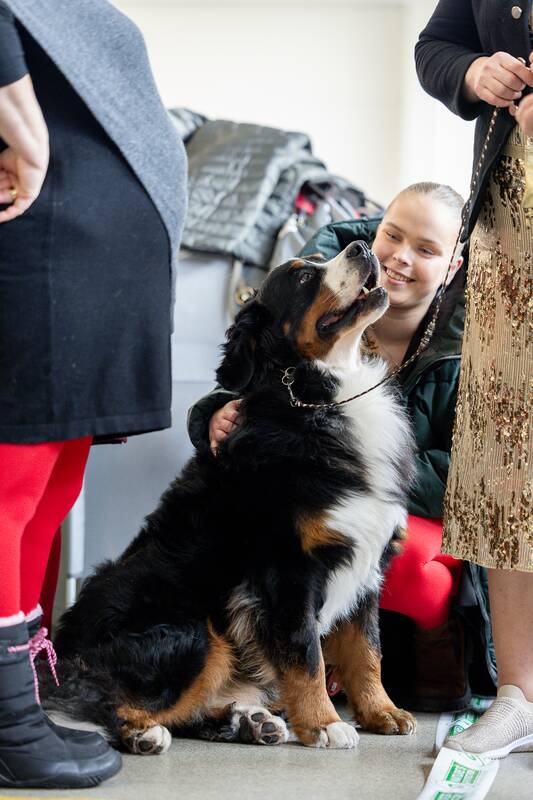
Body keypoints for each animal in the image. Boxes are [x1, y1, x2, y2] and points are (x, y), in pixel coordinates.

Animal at [46, 240, 417, 754]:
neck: (319, 399)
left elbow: (367, 650)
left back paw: (252, 722)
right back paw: (145, 733)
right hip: (194, 628)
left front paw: (382, 711)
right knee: (96, 698)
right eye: (303, 277)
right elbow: (307, 653)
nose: (362, 247)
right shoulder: (286, 570)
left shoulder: (367, 563)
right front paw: (325, 723)